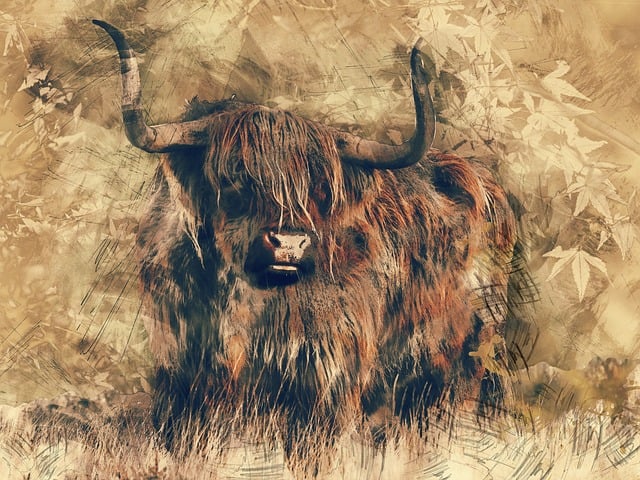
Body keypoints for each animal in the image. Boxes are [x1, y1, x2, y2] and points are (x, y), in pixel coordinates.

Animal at [93, 19, 517, 473]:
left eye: (319, 188)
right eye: (234, 177)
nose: (289, 243)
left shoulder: (325, 377)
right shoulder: (184, 373)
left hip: (459, 365)